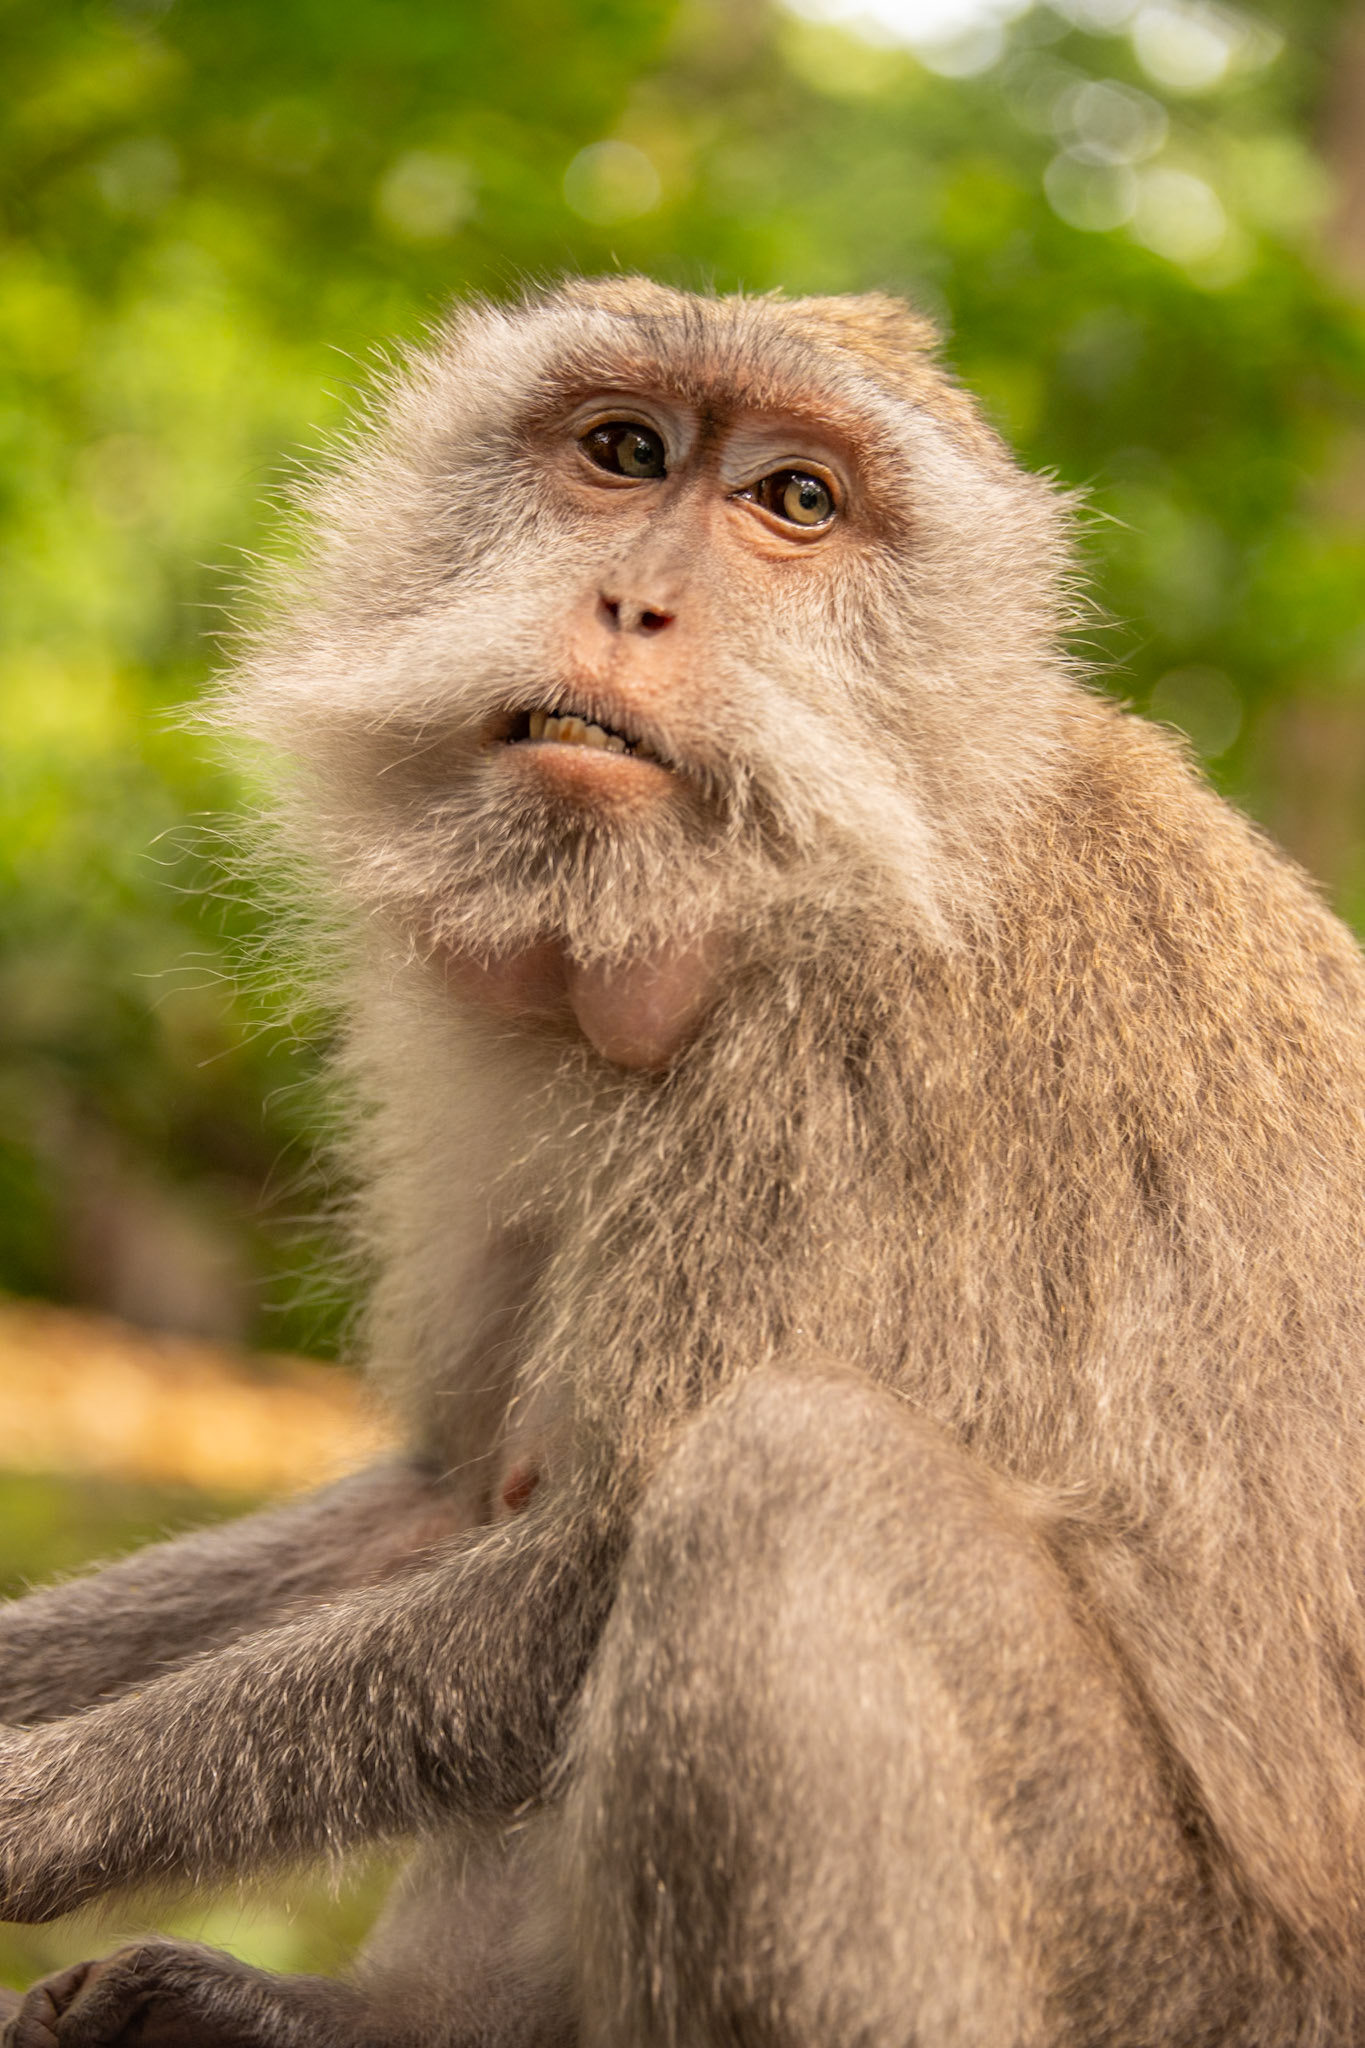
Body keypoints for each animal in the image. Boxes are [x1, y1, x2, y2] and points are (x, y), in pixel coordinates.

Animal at [3, 274, 1365, 2047]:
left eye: (795, 500)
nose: (631, 603)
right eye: (626, 452)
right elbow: (460, 1490)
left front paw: (31, 1807)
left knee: (790, 1479)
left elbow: (589, 1559)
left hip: (1170, 1974)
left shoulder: (860, 1051)